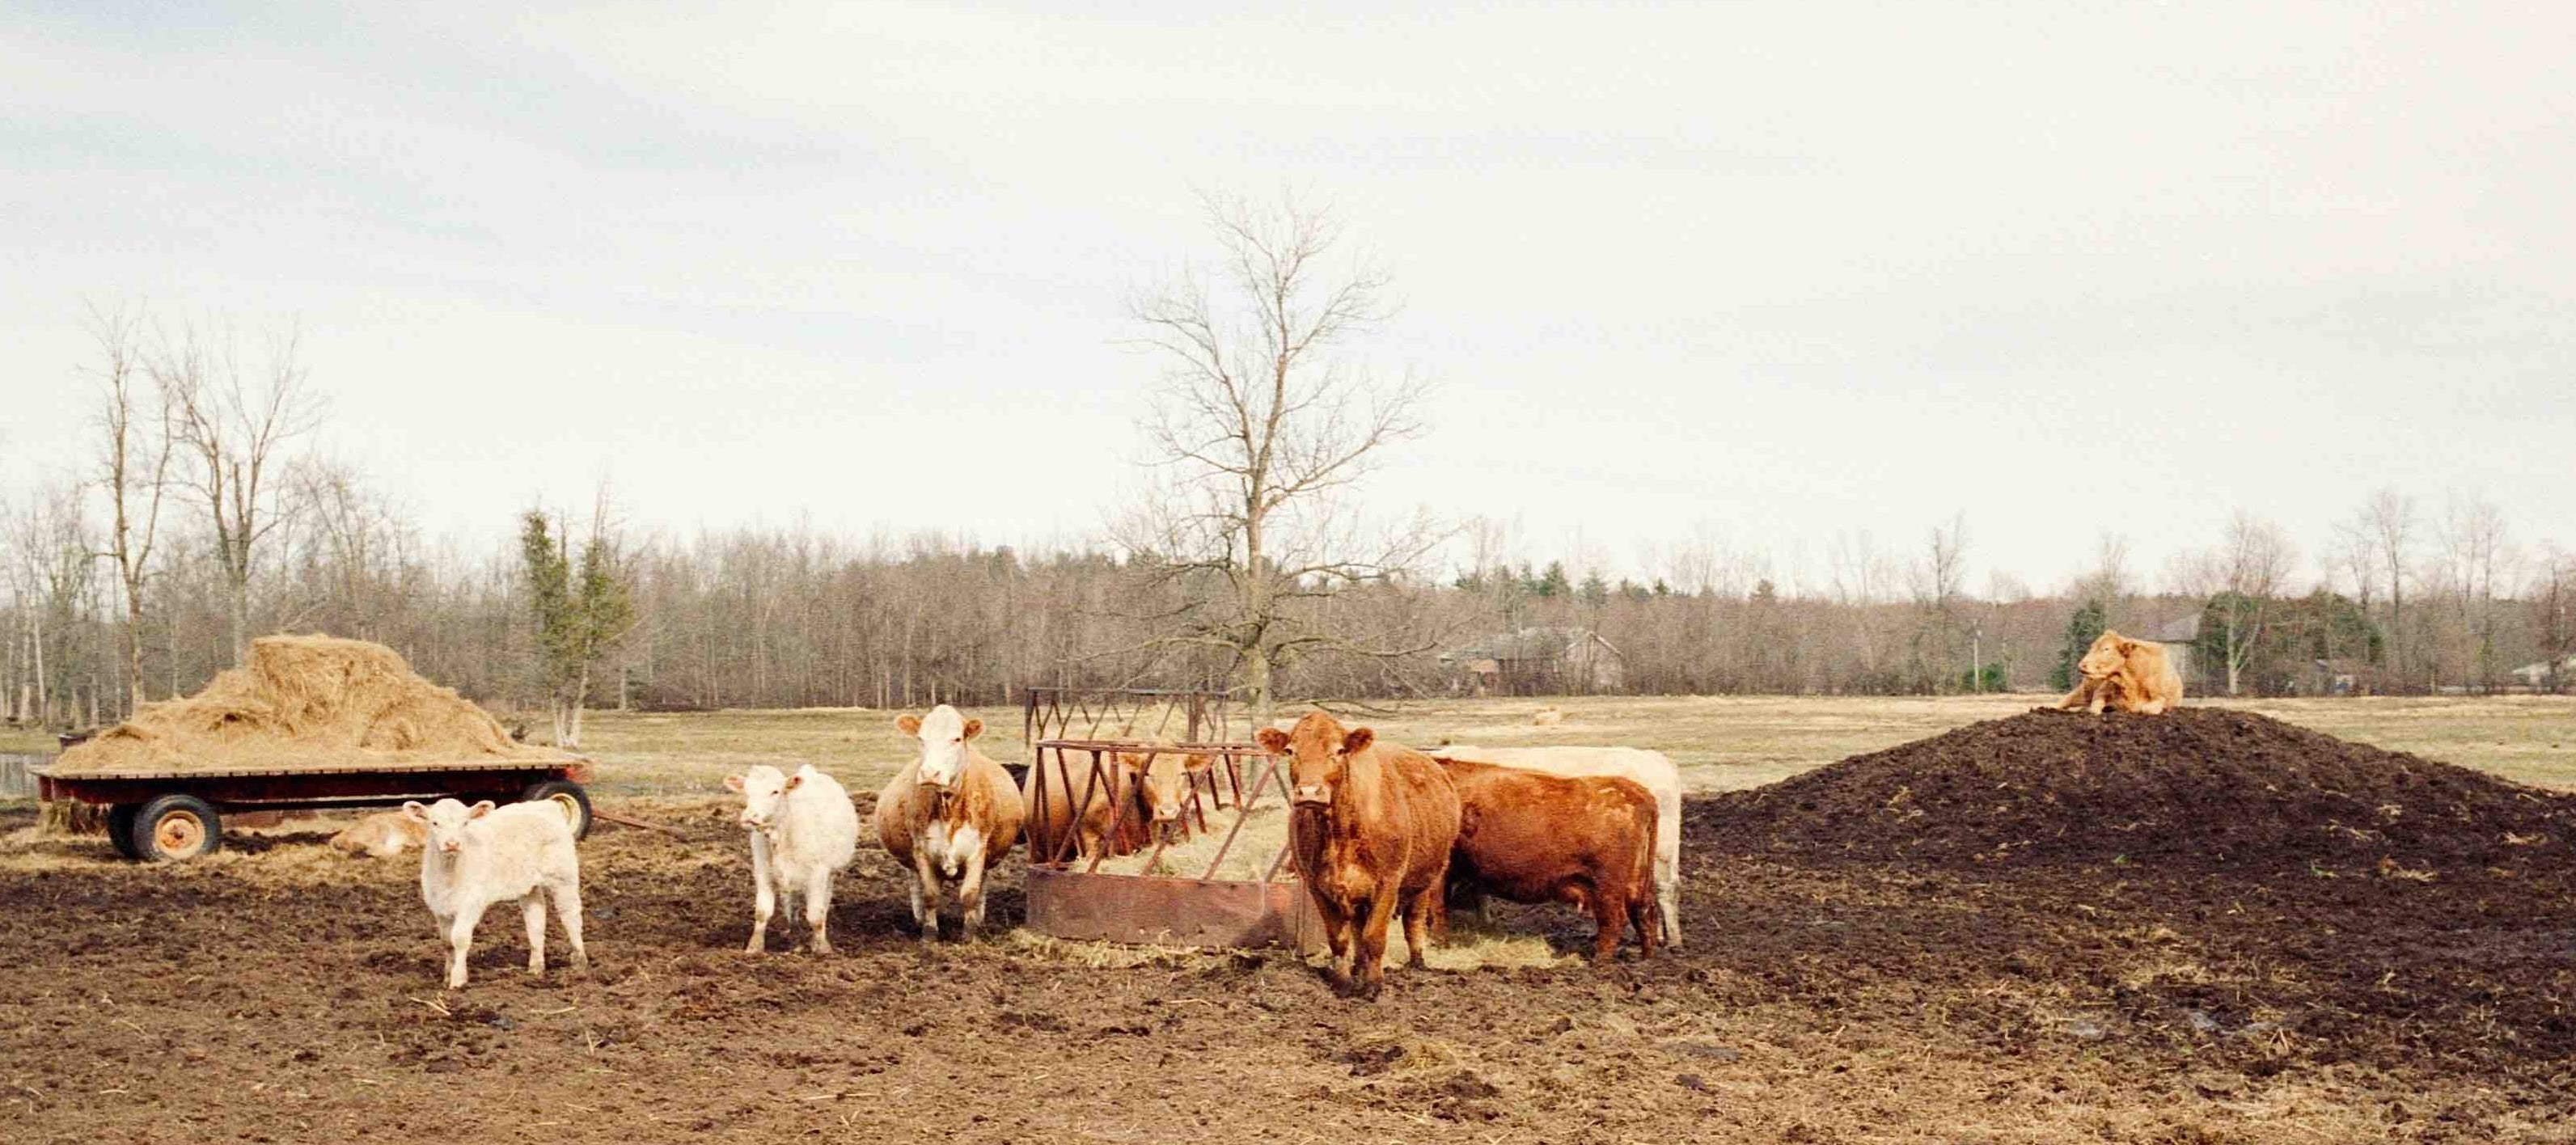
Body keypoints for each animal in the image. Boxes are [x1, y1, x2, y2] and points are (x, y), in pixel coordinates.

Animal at [876, 706, 1024, 942]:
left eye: (956, 739)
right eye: (921, 738)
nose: (930, 773)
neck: (948, 810)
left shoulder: (977, 850)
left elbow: (970, 894)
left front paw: (969, 935)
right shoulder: (922, 850)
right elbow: (930, 895)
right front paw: (929, 934)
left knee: (982, 885)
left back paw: (979, 920)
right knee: (915, 884)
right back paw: (918, 919)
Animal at [1258, 710, 1462, 1001]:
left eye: (1339, 750)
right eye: (1290, 750)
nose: (1309, 792)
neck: (1339, 834)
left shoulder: (1389, 883)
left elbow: (1374, 937)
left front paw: (1374, 986)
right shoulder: (1318, 887)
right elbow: (1340, 939)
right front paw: (1343, 982)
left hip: (1427, 880)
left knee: (1413, 922)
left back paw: (1416, 965)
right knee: (1357, 929)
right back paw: (1358, 968)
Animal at [2052, 631, 2185, 715]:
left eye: (2106, 649)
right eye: (2092, 647)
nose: (2082, 665)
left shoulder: (2162, 698)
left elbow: (2147, 709)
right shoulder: (2101, 692)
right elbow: (2094, 708)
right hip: (2084, 691)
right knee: (2064, 701)